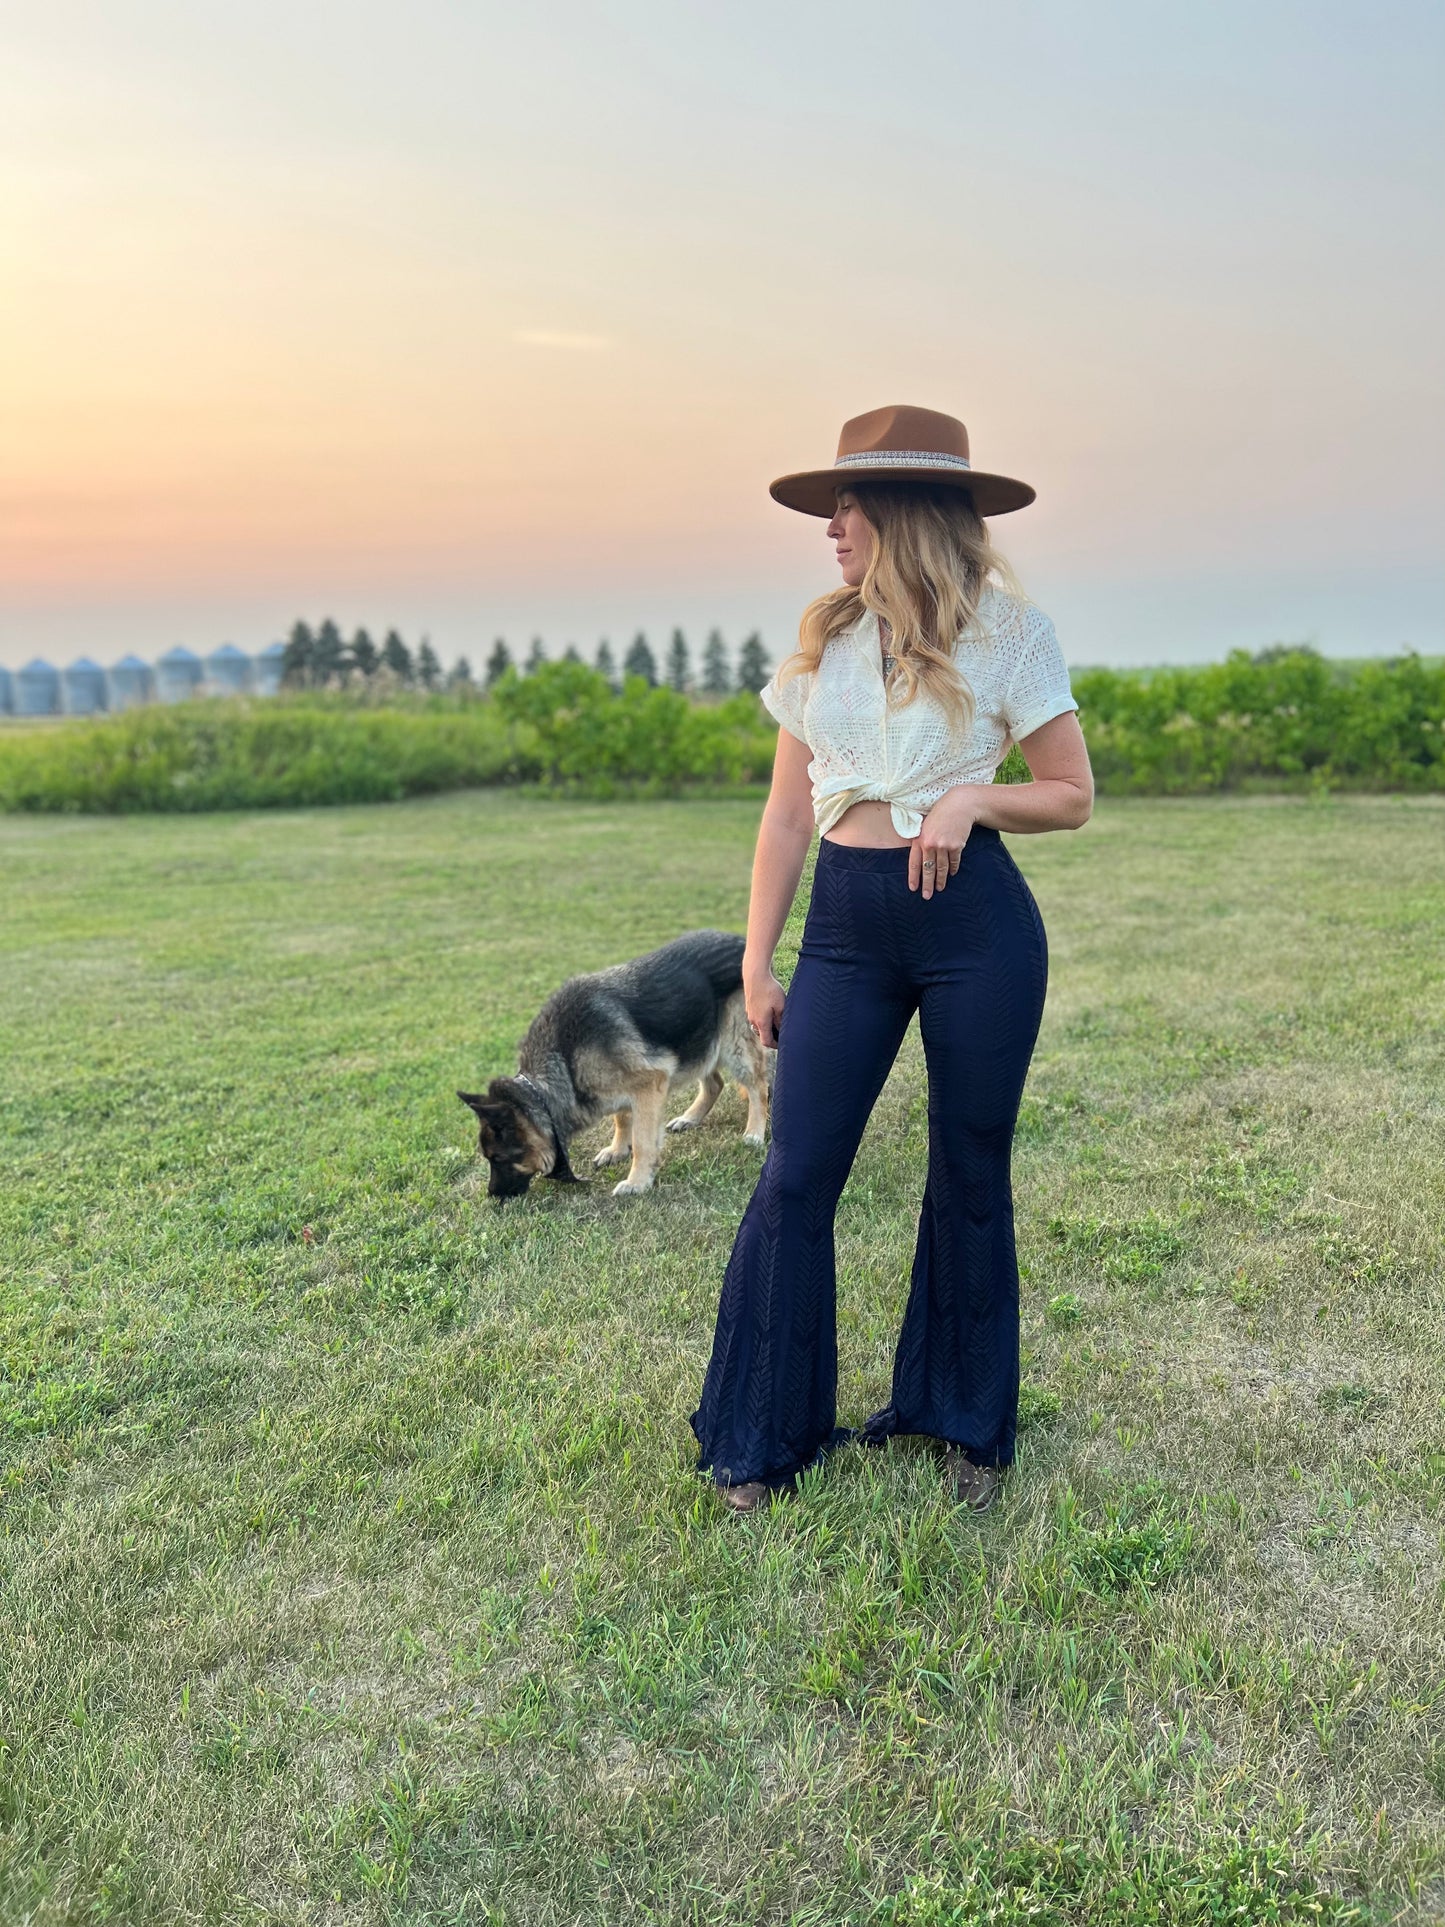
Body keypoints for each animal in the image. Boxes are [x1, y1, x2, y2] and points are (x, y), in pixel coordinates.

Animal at [460, 932, 782, 1202]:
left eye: (497, 1159)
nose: (491, 1196)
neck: (563, 1062)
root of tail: (742, 941)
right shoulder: (626, 1087)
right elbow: (622, 1117)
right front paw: (617, 1150)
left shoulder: (649, 1085)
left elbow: (642, 1141)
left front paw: (637, 1181)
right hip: (697, 1044)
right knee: (715, 1083)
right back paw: (689, 1118)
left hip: (733, 1045)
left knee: (758, 1087)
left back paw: (754, 1131)